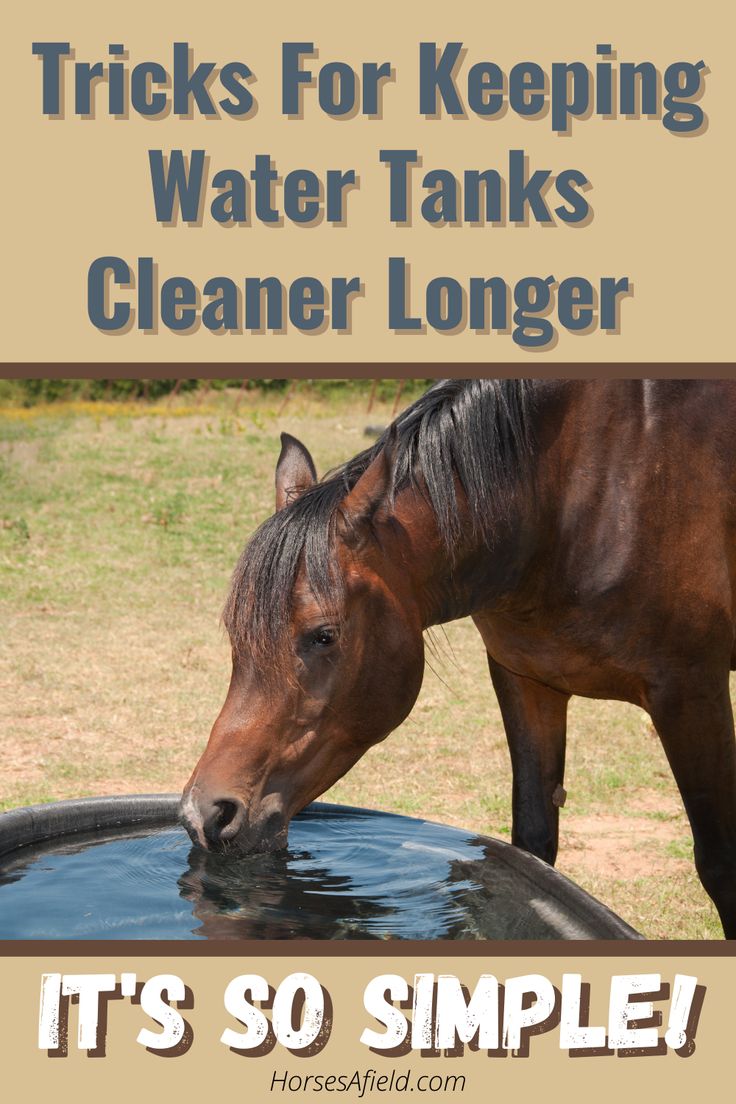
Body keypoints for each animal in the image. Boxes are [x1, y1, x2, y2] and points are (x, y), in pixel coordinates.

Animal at [180, 379, 736, 931]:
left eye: (323, 635)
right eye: (236, 634)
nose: (203, 815)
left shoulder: (690, 693)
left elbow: (719, 864)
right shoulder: (526, 679)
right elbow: (532, 846)